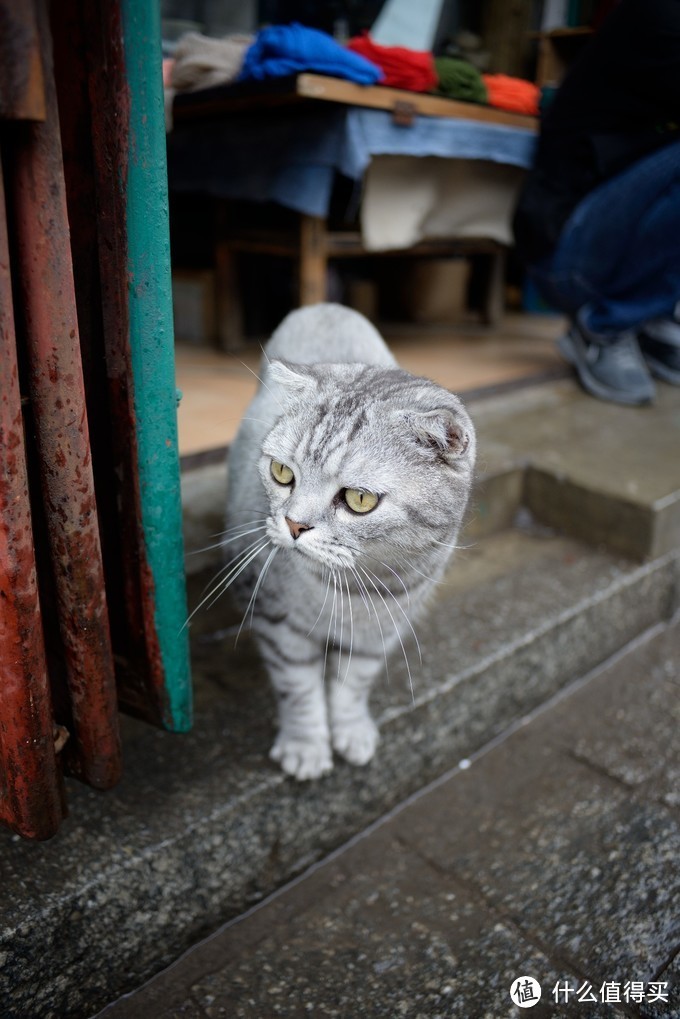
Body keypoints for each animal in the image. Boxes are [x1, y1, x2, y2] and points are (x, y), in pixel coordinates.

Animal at [223, 301, 473, 778]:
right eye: (282, 472)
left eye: (359, 499)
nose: (293, 525)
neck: (352, 590)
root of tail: (326, 305)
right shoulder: (278, 622)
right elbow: (298, 688)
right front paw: (306, 745)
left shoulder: (381, 632)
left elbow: (353, 684)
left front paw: (351, 729)